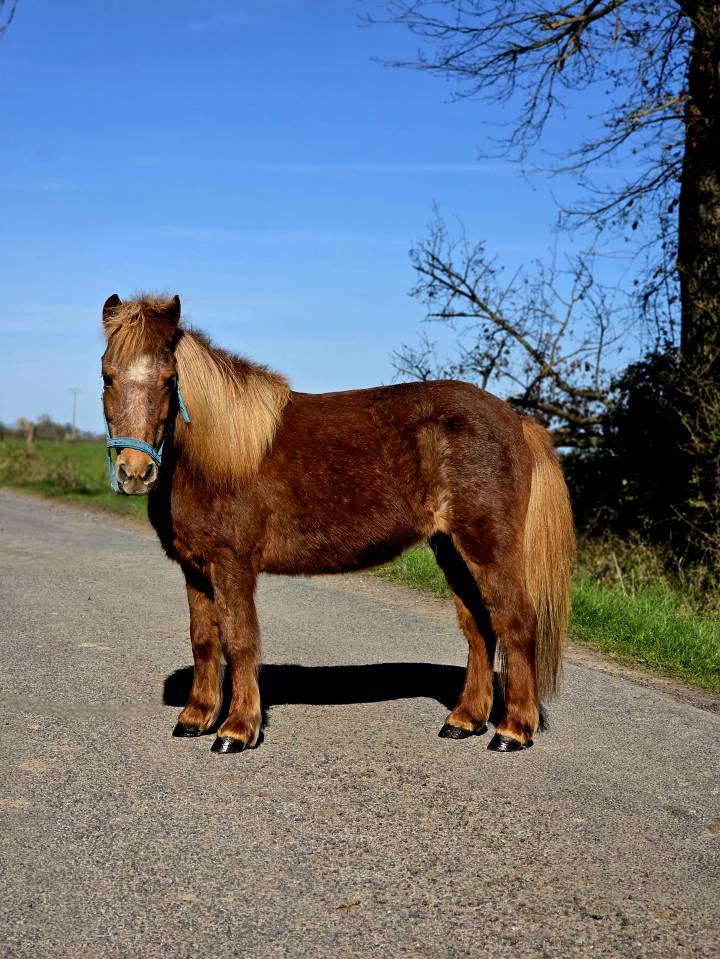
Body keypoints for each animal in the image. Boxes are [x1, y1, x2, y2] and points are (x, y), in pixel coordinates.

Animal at [100, 293, 575, 755]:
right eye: (107, 377)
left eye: (168, 380)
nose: (135, 472)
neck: (221, 454)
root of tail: (518, 421)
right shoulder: (195, 567)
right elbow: (204, 639)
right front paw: (195, 718)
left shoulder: (232, 565)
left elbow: (239, 640)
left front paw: (236, 730)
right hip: (452, 552)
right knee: (479, 628)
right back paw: (465, 721)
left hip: (487, 547)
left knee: (516, 622)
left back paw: (512, 731)